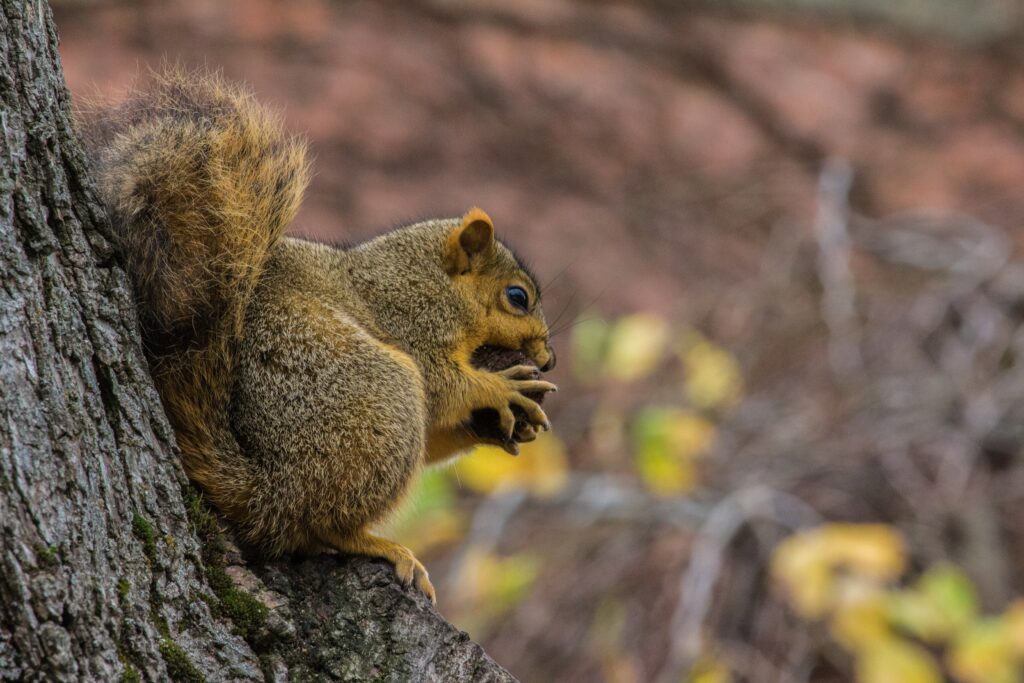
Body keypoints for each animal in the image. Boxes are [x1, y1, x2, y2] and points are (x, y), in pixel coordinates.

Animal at [81, 68, 557, 602]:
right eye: (517, 297)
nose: (550, 358)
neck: (424, 277)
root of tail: (270, 491)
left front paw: (497, 425)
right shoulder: (411, 320)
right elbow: (440, 385)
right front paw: (499, 387)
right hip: (381, 402)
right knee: (323, 525)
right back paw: (379, 545)